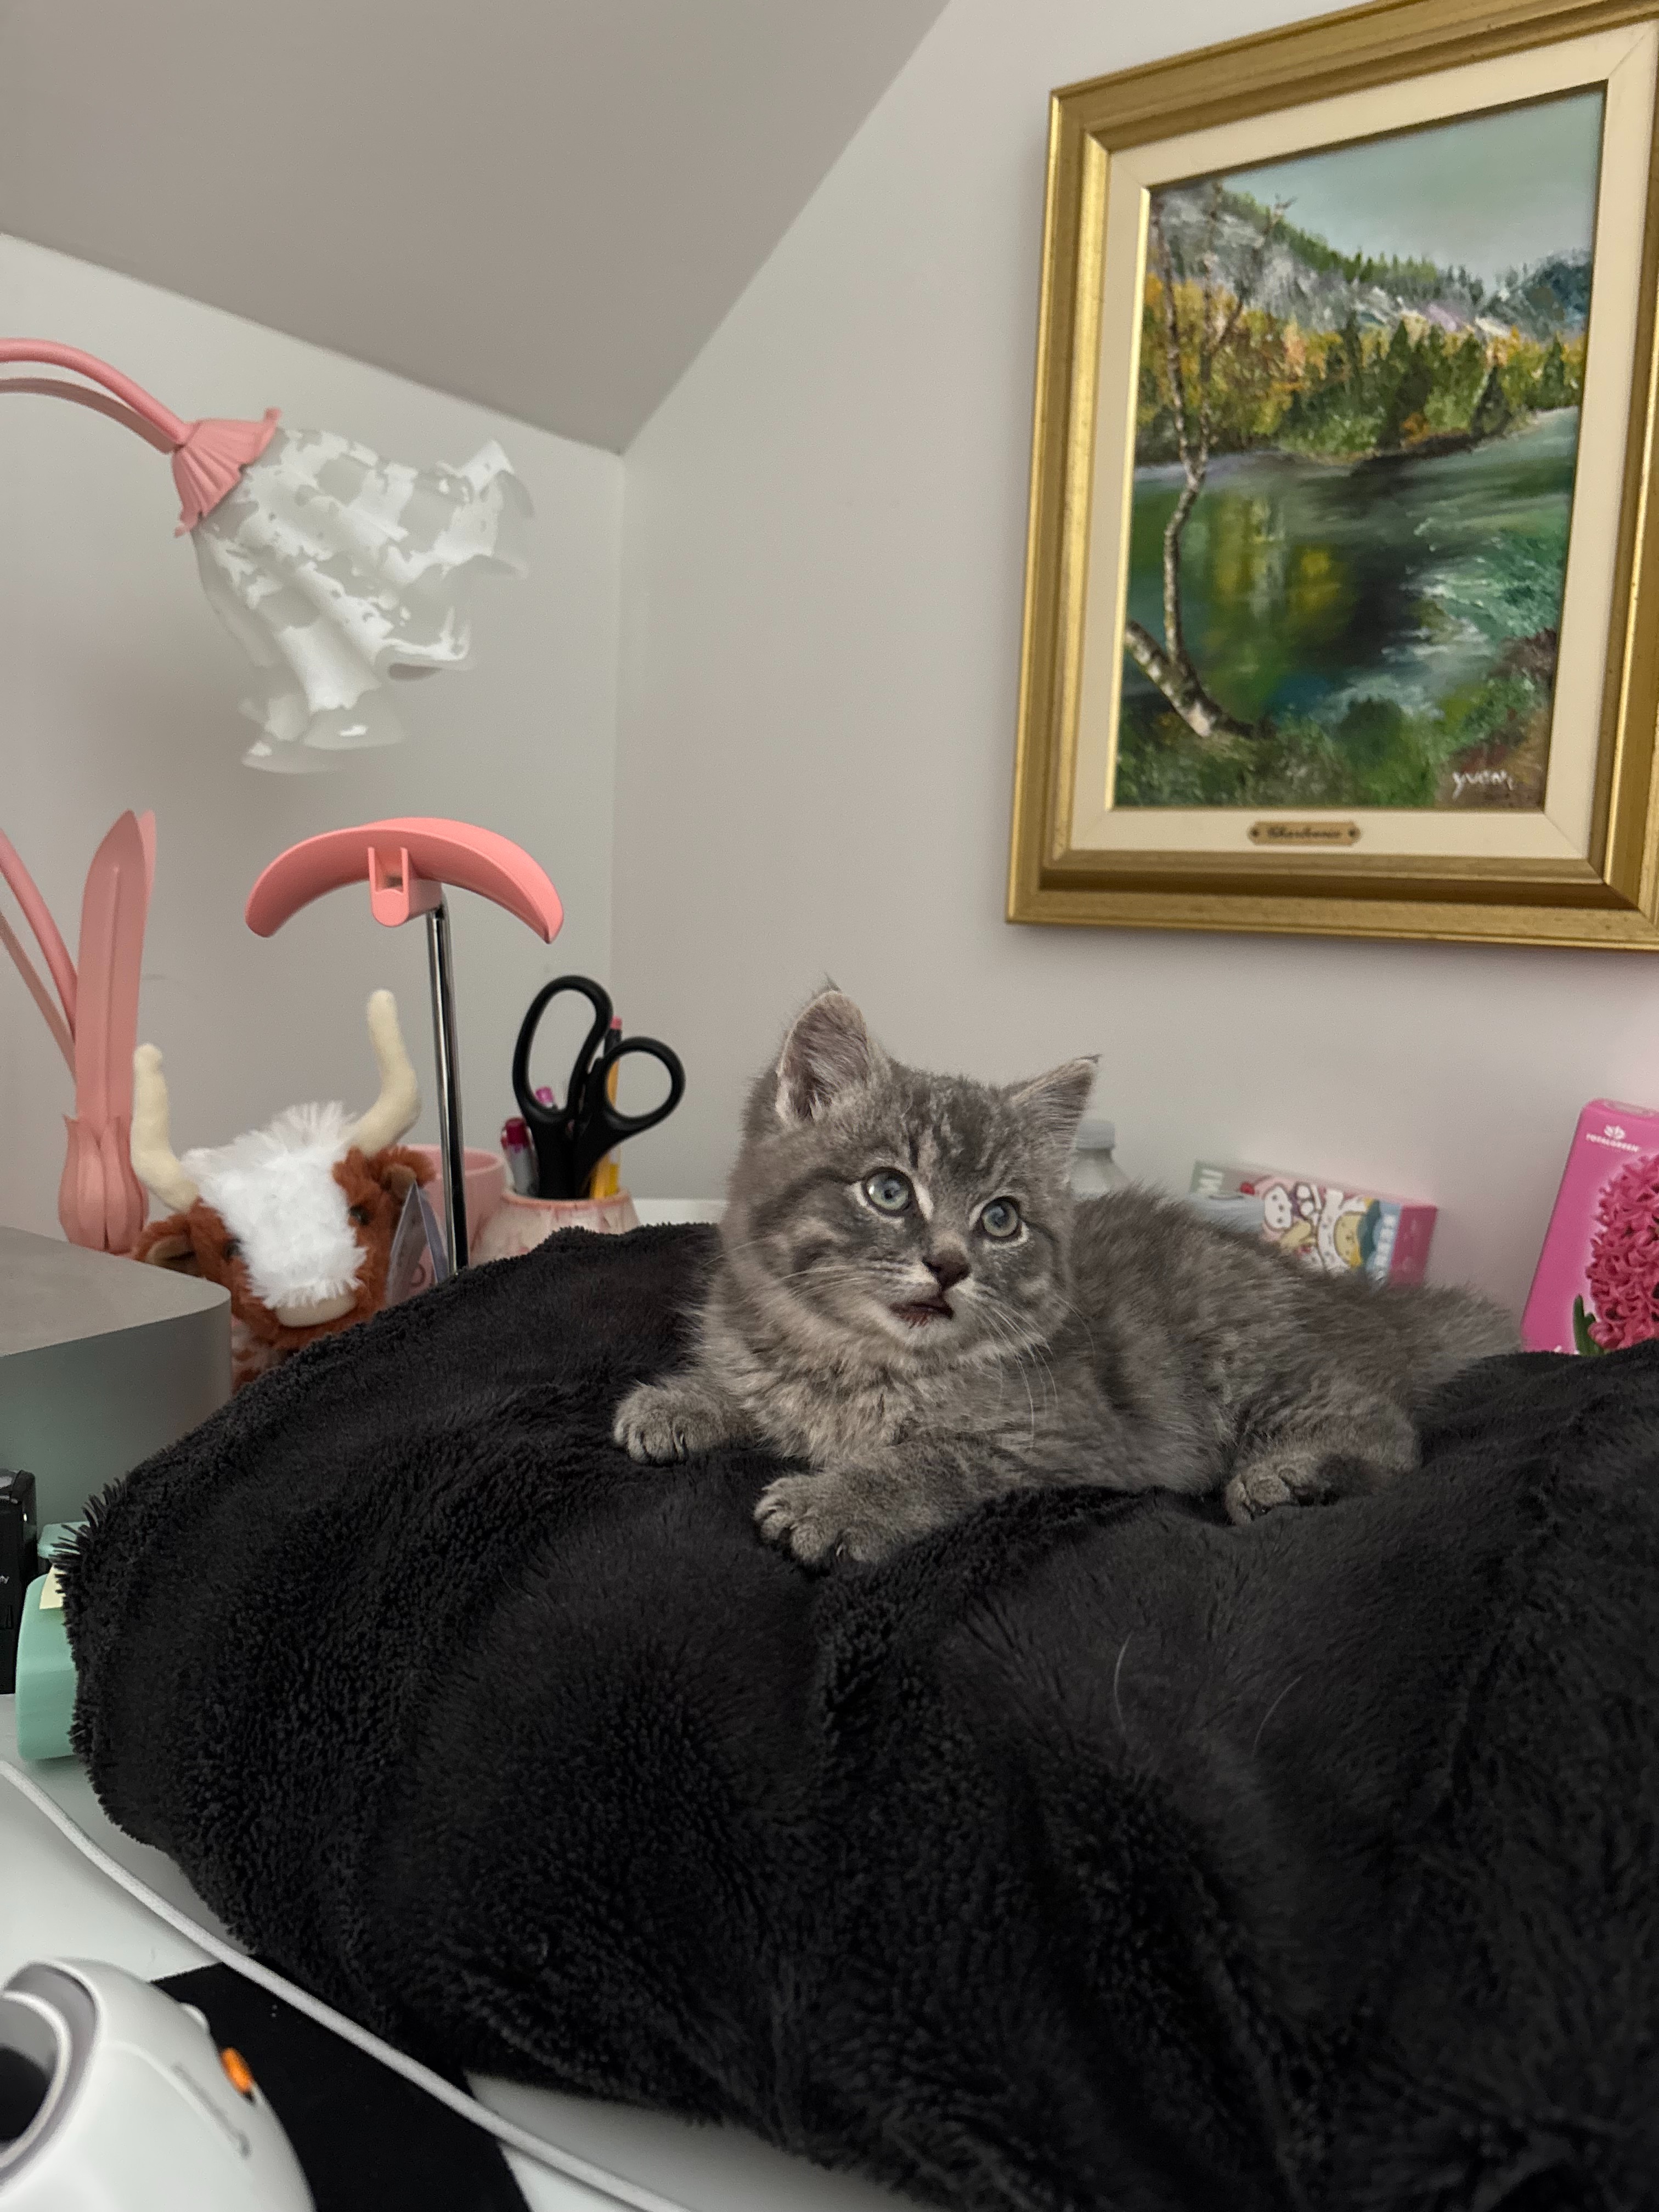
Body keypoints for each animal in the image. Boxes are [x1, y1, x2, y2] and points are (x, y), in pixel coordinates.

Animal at [613, 990, 1518, 1566]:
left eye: (1001, 1219)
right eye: (889, 1190)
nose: (949, 1265)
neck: (855, 1363)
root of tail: (1361, 1303)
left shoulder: (1068, 1438)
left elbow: (939, 1460)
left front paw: (837, 1503)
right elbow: (750, 1390)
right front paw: (682, 1401)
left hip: (1257, 1361)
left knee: (1391, 1433)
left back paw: (1293, 1477)